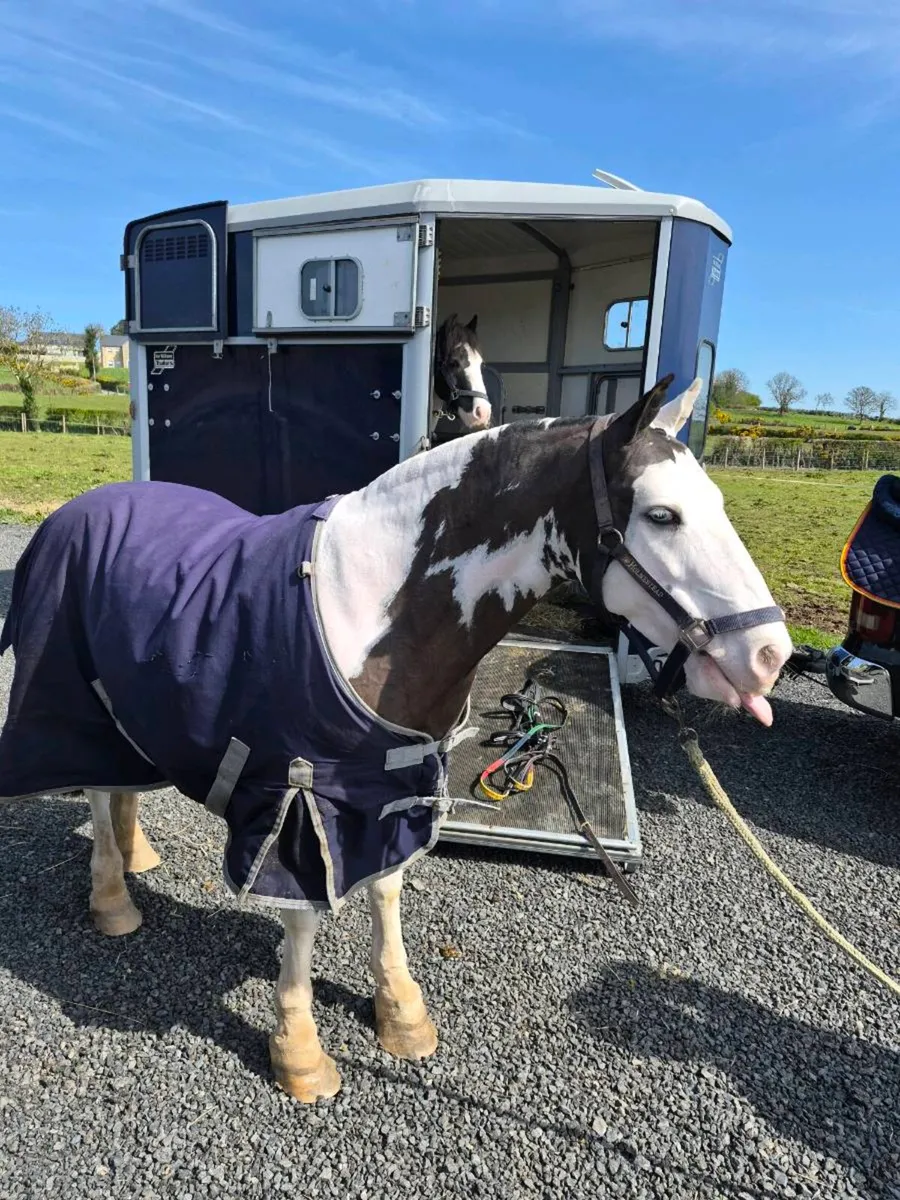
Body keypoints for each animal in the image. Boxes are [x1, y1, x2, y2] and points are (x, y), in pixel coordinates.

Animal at [0, 374, 791, 1104]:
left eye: (716, 503)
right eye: (661, 515)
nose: (770, 656)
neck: (376, 608)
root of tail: (75, 510)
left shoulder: (391, 782)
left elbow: (386, 891)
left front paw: (401, 1015)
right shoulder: (298, 795)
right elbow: (302, 922)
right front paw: (301, 1054)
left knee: (122, 782)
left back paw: (138, 855)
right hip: (71, 695)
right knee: (94, 787)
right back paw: (113, 899)